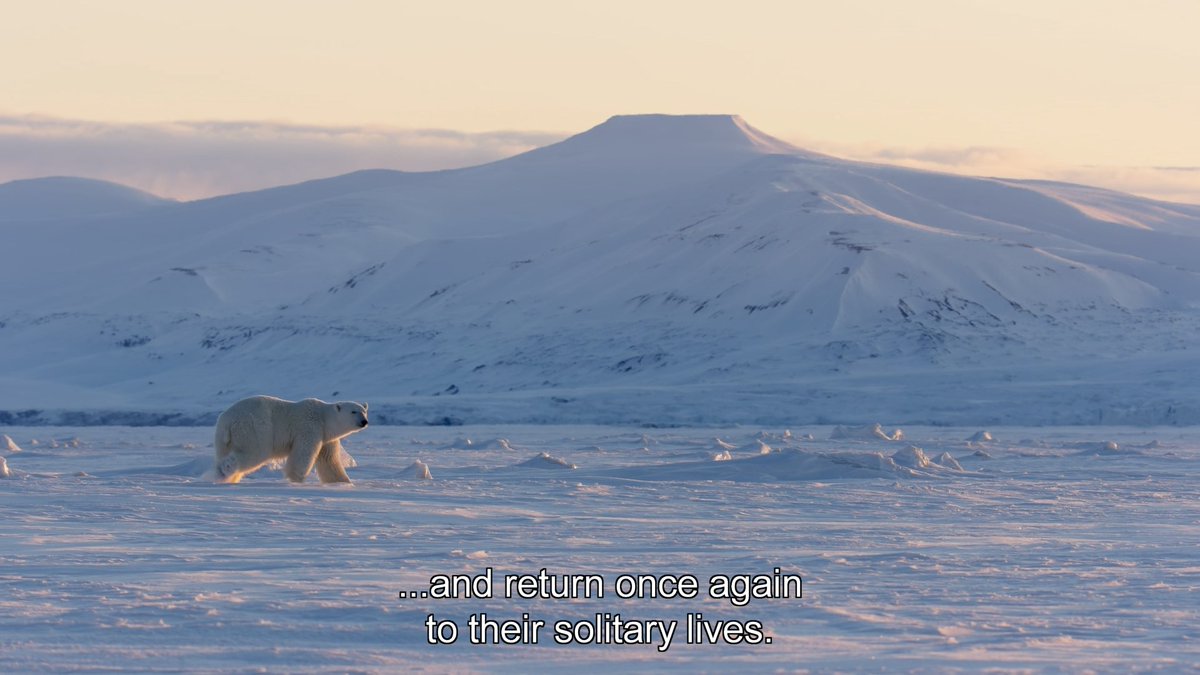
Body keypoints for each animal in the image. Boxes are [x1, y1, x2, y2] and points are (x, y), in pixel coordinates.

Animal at [212, 395, 369, 484]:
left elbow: (329, 461)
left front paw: (343, 482)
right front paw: (297, 479)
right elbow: (303, 454)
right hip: (255, 428)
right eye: (353, 411)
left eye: (364, 411)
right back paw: (225, 470)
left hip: (223, 438)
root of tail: (228, 421)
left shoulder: (326, 438)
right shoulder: (309, 428)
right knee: (255, 452)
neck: (324, 418)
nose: (364, 421)